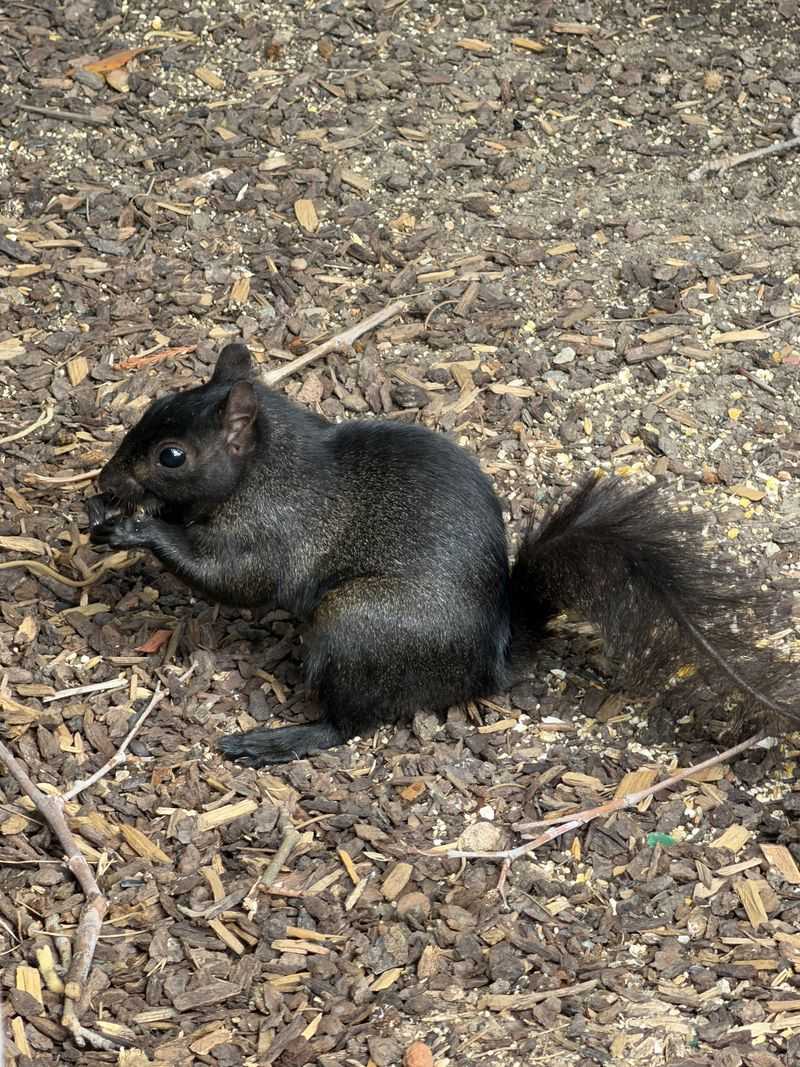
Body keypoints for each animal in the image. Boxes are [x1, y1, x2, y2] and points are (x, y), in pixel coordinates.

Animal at [87, 342, 798, 766]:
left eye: (171, 455)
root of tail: (490, 662)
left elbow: (231, 578)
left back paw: (280, 739)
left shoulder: (274, 528)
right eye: (153, 405)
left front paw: (136, 530)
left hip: (356, 624)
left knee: (348, 725)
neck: (266, 463)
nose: (105, 479)